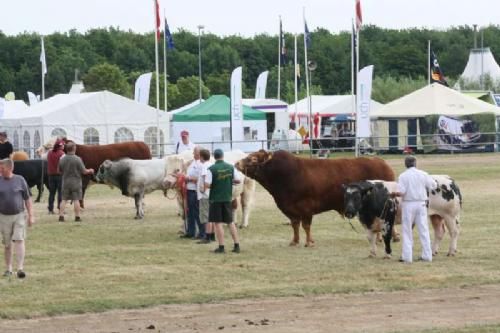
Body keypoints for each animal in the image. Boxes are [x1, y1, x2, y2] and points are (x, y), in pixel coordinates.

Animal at [236, 150, 396, 246]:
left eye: (253, 158)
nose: (237, 163)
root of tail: (381, 162)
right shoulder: (289, 209)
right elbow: (295, 225)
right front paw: (295, 241)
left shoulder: (306, 208)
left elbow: (306, 226)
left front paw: (309, 242)